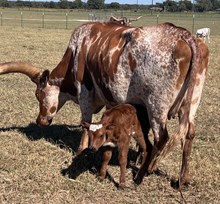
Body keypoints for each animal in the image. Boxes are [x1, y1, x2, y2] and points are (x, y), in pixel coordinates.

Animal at [0, 21, 210, 188]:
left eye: (38, 94)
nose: (40, 120)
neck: (77, 52)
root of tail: (184, 34)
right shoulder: (113, 101)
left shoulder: (85, 92)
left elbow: (85, 122)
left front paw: (81, 150)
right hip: (191, 103)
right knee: (188, 134)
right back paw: (182, 180)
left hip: (156, 105)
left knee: (162, 138)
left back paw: (145, 172)